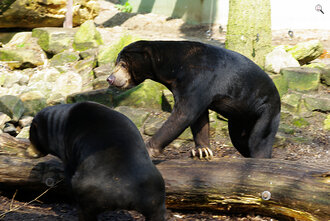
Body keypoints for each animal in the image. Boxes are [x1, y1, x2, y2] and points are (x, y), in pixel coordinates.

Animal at [28, 102, 166, 221]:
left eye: (30, 138)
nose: (28, 151)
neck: (57, 124)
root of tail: (124, 193)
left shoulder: (66, 149)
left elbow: (68, 171)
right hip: (154, 193)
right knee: (156, 213)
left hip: (88, 191)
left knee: (85, 210)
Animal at [107, 40, 280, 159]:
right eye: (116, 63)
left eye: (123, 65)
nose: (110, 79)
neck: (173, 67)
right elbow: (199, 118)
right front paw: (202, 150)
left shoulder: (198, 79)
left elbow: (185, 113)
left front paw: (149, 150)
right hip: (240, 118)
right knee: (240, 139)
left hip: (265, 109)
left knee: (259, 140)